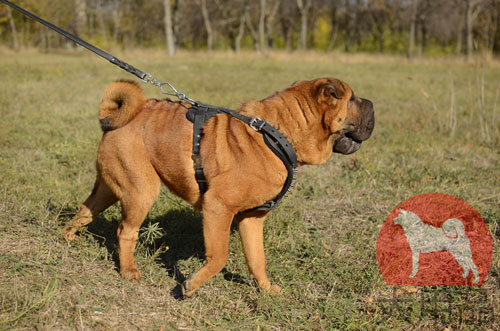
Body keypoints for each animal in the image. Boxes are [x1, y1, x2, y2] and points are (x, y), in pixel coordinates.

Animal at [62, 78, 374, 298]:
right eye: (352, 99)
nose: (372, 103)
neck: (278, 134)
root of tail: (115, 117)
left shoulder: (252, 218)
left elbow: (257, 259)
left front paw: (266, 289)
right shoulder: (218, 207)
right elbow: (220, 256)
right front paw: (189, 286)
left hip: (109, 189)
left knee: (84, 211)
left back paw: (68, 238)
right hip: (141, 191)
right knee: (125, 232)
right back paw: (129, 271)